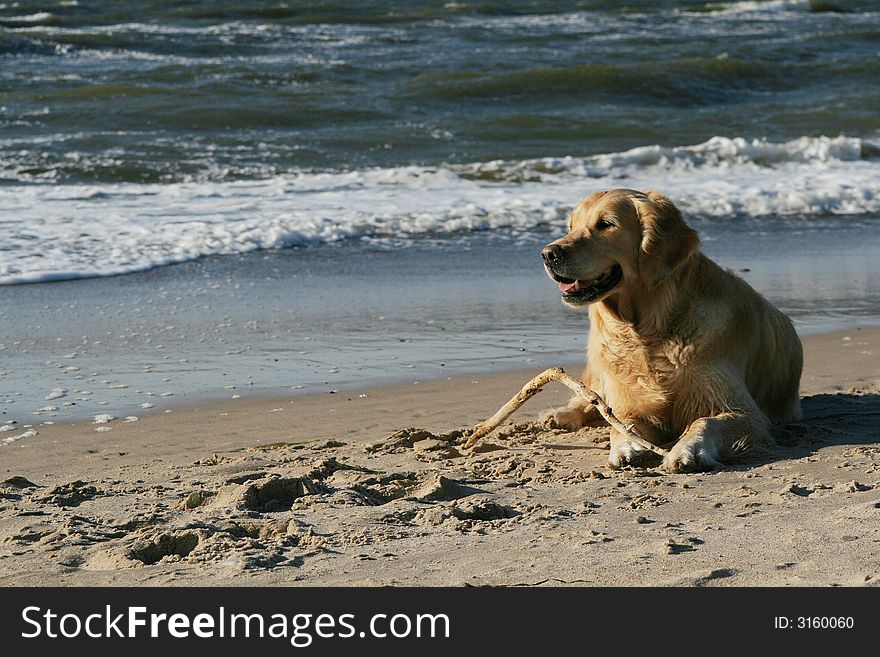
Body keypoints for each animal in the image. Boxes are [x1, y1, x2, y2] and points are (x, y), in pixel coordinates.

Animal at [540, 190, 800, 472]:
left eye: (606, 224)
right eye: (570, 227)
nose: (548, 253)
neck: (647, 332)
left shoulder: (745, 413)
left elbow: (704, 421)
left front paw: (688, 449)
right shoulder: (628, 404)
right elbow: (620, 425)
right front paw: (626, 447)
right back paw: (557, 416)